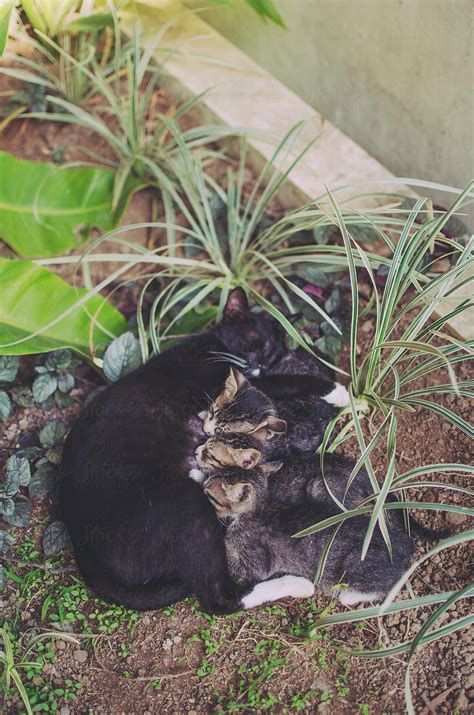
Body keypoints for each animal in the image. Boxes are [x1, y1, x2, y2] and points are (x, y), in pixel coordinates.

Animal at [204, 468, 414, 608]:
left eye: (209, 495)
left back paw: (347, 595)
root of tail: (403, 545)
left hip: (354, 565)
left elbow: (233, 561)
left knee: (388, 586)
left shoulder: (258, 561)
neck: (259, 507)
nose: (203, 484)